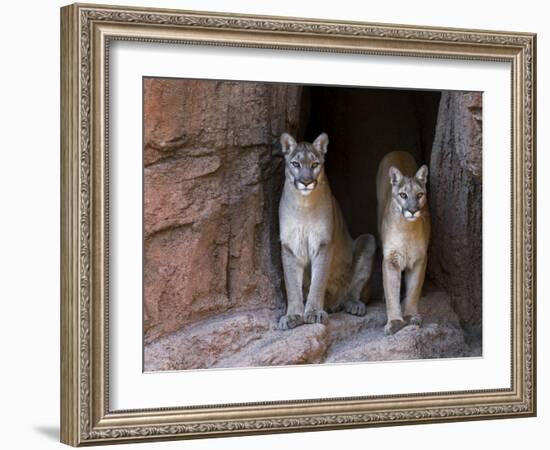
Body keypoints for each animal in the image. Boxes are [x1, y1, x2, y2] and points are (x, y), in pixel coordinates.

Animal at [278, 132, 378, 328]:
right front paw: (293, 315)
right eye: (296, 164)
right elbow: (292, 286)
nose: (306, 182)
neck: (303, 204)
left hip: (368, 240)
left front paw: (314, 312)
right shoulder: (290, 246)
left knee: (355, 291)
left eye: (315, 164)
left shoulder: (323, 244)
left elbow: (318, 282)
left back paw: (353, 305)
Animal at [378, 150, 434, 334]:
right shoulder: (390, 259)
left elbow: (414, 289)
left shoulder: (420, 259)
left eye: (419, 195)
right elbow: (391, 292)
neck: (406, 230)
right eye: (403, 195)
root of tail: (397, 151)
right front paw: (395, 321)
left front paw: (410, 316)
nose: (413, 210)